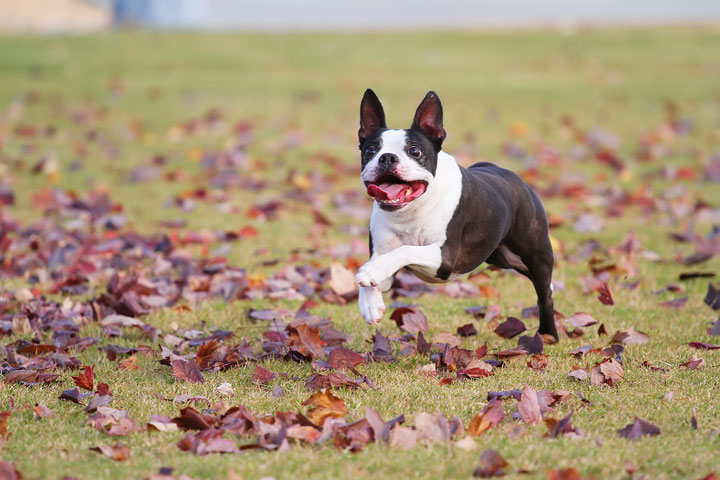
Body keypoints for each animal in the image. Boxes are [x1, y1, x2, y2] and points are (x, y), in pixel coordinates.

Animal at [356, 88, 564, 340]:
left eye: (414, 151)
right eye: (370, 150)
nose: (386, 157)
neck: (411, 212)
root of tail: (514, 177)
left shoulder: (445, 257)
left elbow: (405, 250)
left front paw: (371, 272)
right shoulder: (384, 259)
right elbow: (376, 270)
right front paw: (370, 304)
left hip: (537, 252)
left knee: (545, 293)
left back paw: (548, 334)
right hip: (502, 256)